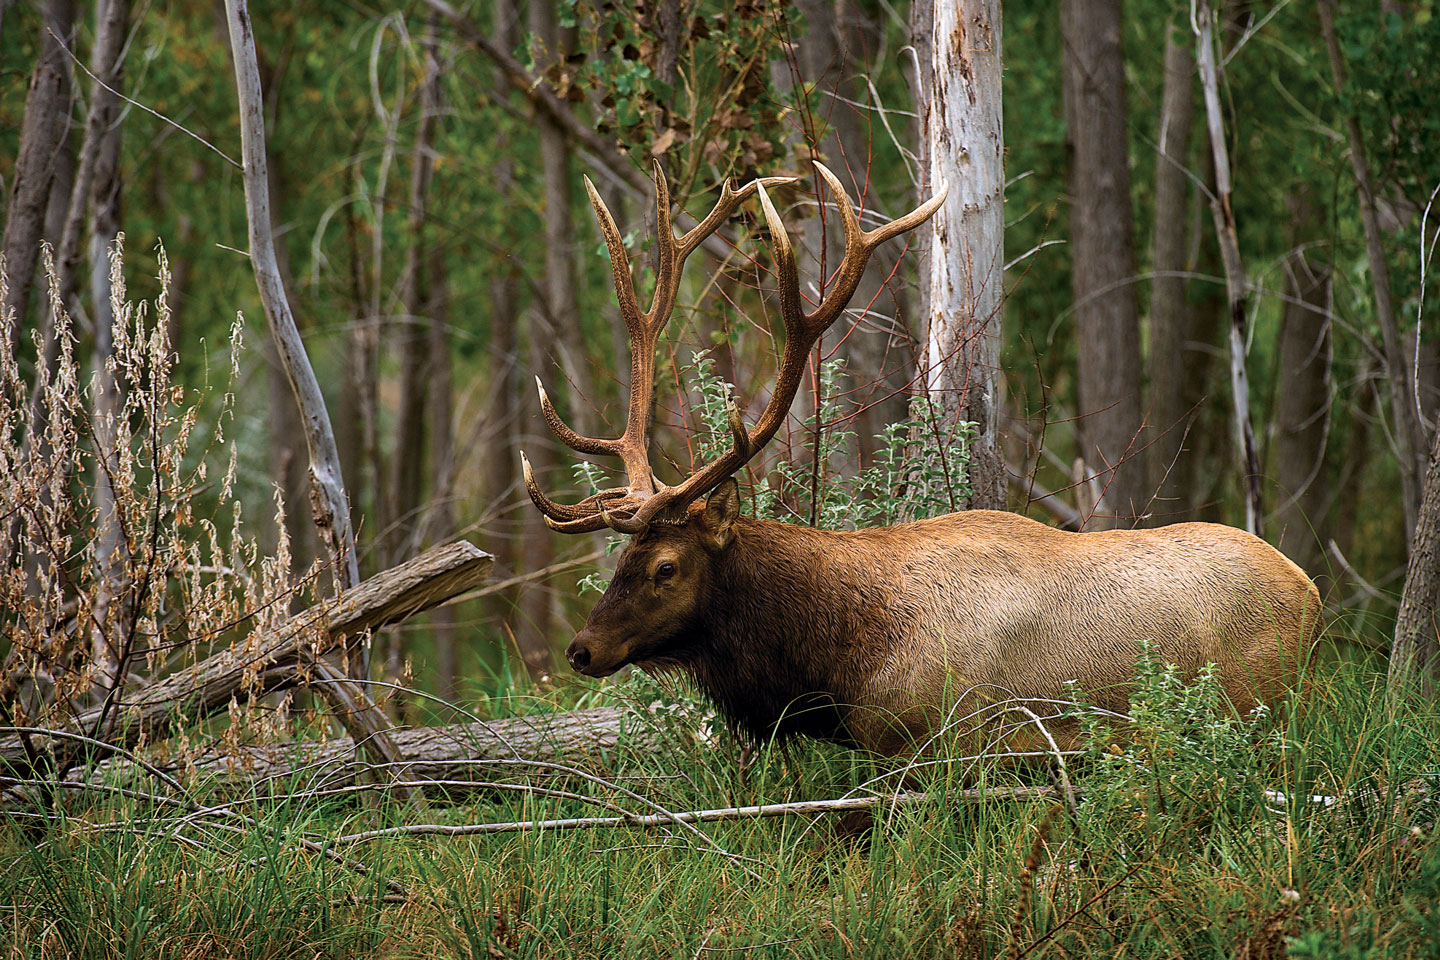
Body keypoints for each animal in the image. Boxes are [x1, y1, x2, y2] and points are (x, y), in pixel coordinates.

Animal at [524, 159, 1319, 759]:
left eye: (665, 567)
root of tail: (1312, 595)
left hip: (1259, 708)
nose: (581, 650)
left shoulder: (943, 744)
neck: (840, 659)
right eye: (621, 560)